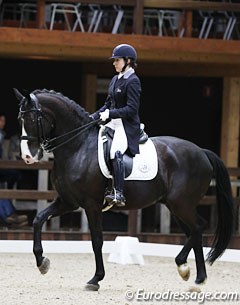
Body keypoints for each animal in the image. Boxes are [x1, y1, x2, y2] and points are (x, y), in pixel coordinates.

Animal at [14, 87, 233, 290]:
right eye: (20, 119)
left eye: (32, 118)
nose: (28, 157)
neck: (78, 147)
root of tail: (202, 152)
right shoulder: (68, 202)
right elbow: (38, 219)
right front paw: (42, 262)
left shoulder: (91, 205)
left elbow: (97, 240)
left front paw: (96, 279)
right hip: (175, 206)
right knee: (194, 233)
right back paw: (196, 277)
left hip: (181, 204)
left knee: (198, 227)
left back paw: (184, 266)